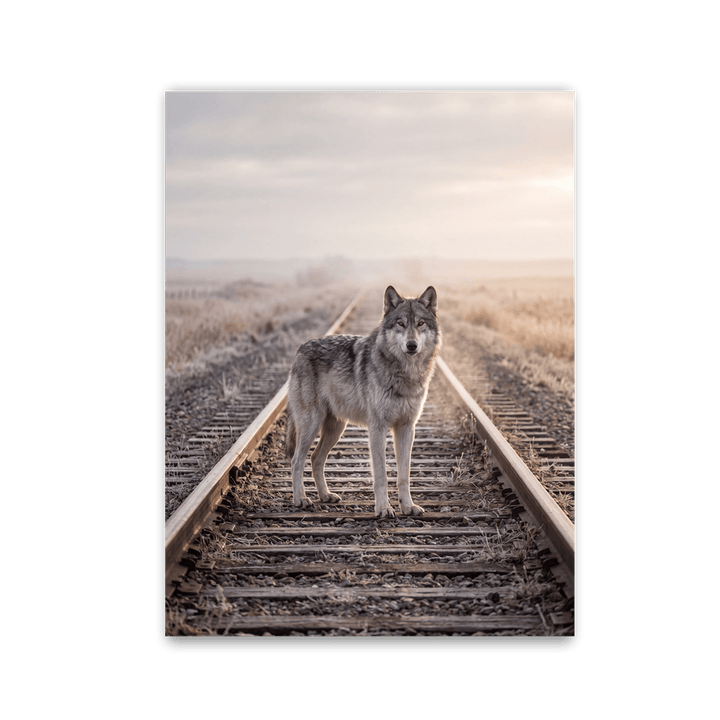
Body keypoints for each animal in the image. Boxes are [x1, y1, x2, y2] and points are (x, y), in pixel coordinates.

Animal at [285, 286, 441, 518]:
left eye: (420, 323)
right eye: (400, 323)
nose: (411, 345)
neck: (405, 373)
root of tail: (300, 349)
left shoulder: (406, 428)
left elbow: (404, 475)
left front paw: (408, 506)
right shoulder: (378, 428)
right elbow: (381, 474)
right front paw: (384, 509)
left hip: (335, 429)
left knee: (315, 459)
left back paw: (326, 495)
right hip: (311, 425)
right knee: (297, 460)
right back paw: (301, 499)